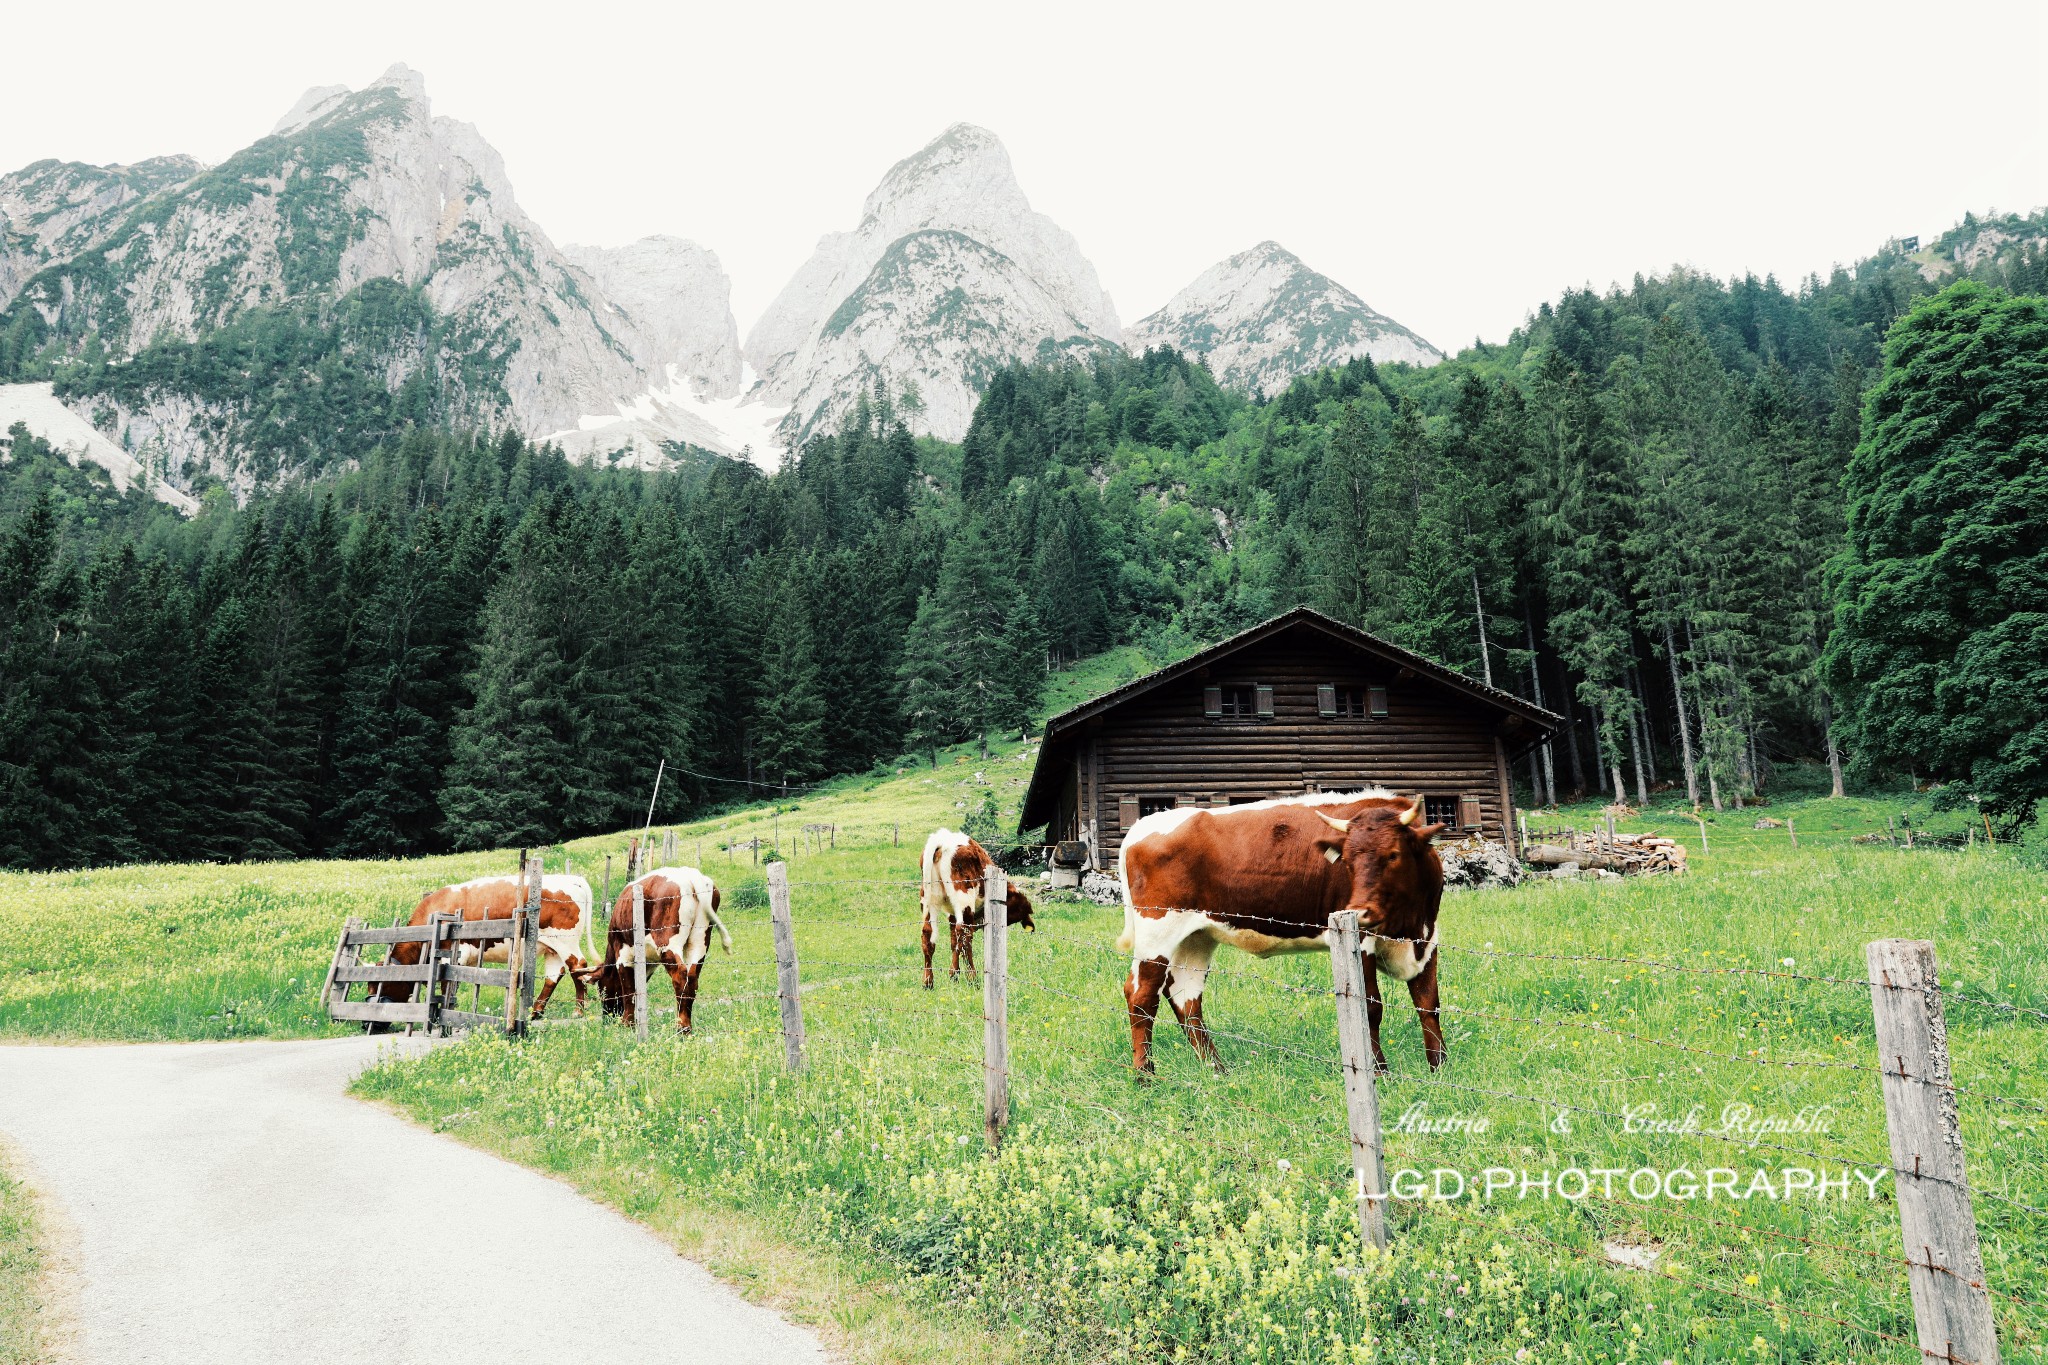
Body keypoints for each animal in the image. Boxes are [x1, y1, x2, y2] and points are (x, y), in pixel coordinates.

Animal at [374, 875, 593, 1015]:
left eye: (381, 985)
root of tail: (573, 879)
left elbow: (446, 984)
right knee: (554, 976)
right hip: (552, 947)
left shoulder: (453, 954)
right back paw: (535, 1012)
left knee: (578, 966)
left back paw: (578, 1011)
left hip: (566, 941)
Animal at [581, 871, 733, 1031]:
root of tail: (692, 876)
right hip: (699, 941)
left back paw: (681, 1027)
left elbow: (629, 989)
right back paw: (687, 1026)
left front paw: (627, 1023)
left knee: (680, 976)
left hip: (667, 943)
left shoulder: (623, 954)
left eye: (601, 989)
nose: (607, 1017)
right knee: (692, 979)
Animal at [921, 826, 1032, 986]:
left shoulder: (952, 914)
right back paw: (972, 977)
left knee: (928, 934)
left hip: (929, 900)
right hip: (964, 900)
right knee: (965, 935)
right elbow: (958, 940)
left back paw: (928, 981)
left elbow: (953, 941)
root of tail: (942, 839)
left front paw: (953, 974)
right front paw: (954, 973)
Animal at [1114, 789, 1449, 1080]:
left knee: (1185, 996)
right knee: (1141, 994)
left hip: (1197, 936)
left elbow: (1428, 1002)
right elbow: (1370, 1007)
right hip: (1157, 930)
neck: (1406, 927)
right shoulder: (1362, 940)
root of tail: (1143, 826)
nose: (1360, 912)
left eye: (1393, 855)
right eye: (1347, 861)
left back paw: (1216, 1069)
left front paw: (1440, 1068)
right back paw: (1145, 1075)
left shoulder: (1428, 936)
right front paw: (1379, 1072)